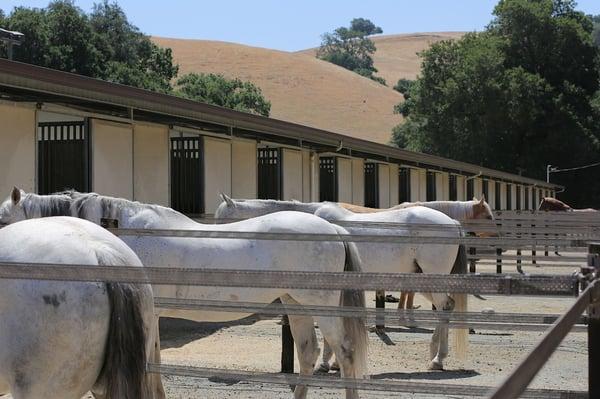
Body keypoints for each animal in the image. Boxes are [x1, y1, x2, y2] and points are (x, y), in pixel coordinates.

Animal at [214, 196, 468, 372]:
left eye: (223, 221)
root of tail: (452, 222)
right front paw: (333, 362)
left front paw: (327, 363)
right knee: (445, 307)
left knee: (445, 307)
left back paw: (437, 359)